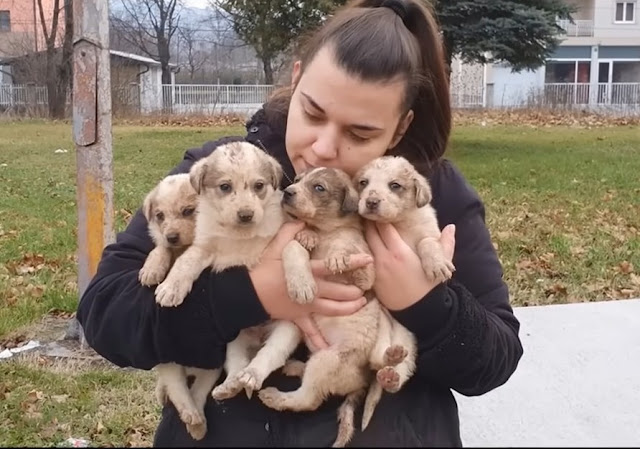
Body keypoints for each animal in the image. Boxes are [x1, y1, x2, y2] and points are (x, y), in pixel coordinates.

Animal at [255, 166, 382, 446]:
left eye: (319, 188)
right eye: (297, 180)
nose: (287, 192)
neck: (327, 232)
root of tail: (360, 383)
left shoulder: (366, 276)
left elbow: (351, 251)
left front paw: (338, 257)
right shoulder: (296, 244)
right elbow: (294, 246)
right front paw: (306, 239)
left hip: (327, 360)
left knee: (309, 399)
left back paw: (277, 396)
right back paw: (293, 367)